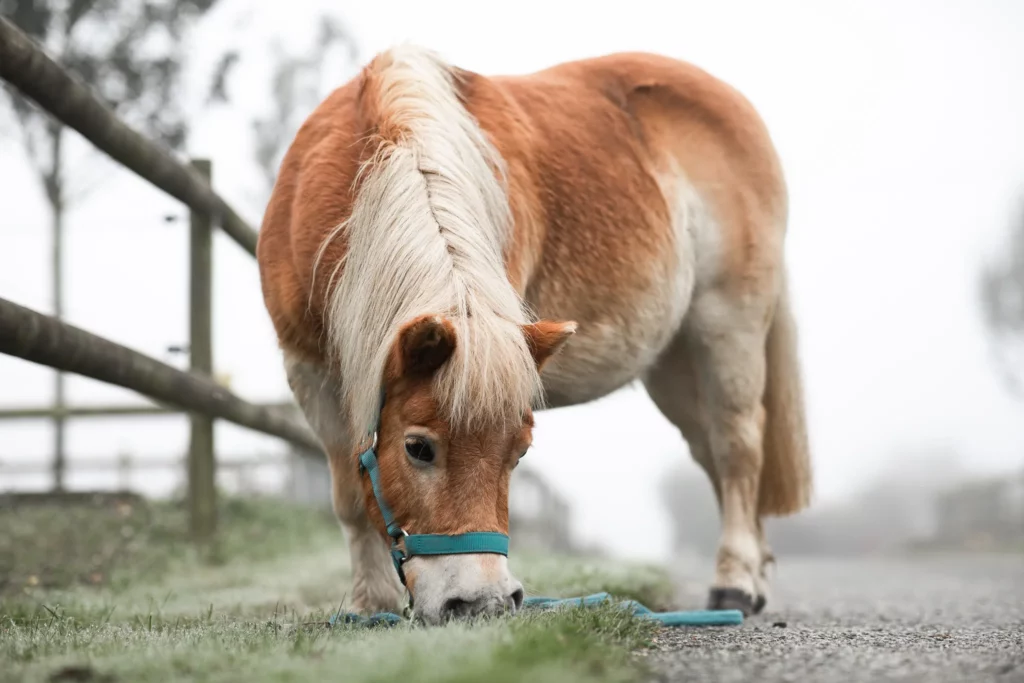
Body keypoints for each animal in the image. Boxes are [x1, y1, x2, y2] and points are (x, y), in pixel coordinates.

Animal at [253, 44, 806, 626]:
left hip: (728, 325)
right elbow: (348, 496)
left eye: (519, 453)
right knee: (711, 452)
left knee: (738, 446)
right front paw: (372, 607)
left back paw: (735, 584)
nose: (481, 602)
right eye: (418, 448)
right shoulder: (309, 371)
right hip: (675, 367)